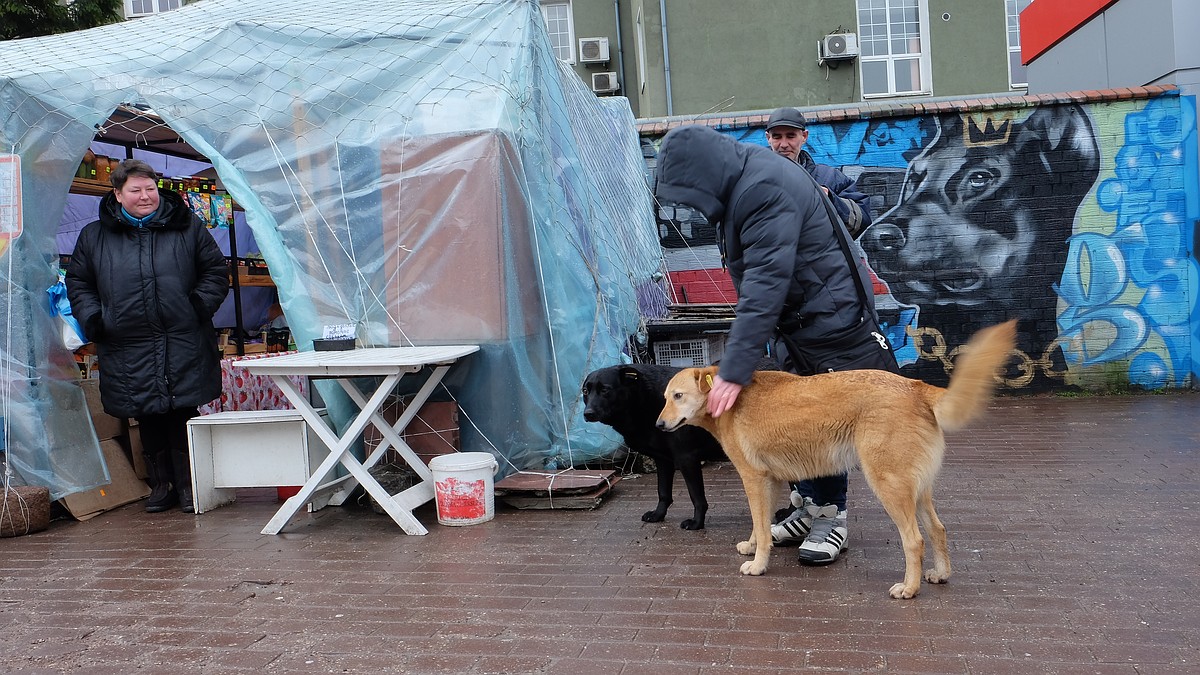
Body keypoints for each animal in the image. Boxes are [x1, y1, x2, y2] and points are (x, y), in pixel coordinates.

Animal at [580, 362, 720, 526]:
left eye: (605, 390)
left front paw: (697, 523)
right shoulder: (663, 460)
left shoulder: (687, 458)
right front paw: (658, 514)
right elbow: (663, 492)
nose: (588, 413)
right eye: (585, 391)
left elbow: (696, 496)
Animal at [657, 317, 1012, 595]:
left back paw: (909, 588)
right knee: (938, 530)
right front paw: (753, 546)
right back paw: (940, 573)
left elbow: (761, 526)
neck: (729, 399)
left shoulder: (753, 479)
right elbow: (761, 526)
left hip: (889, 487)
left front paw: (758, 564)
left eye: (678, 396)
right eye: (665, 398)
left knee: (915, 540)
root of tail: (915, 385)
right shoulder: (769, 482)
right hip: (917, 490)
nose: (658, 426)